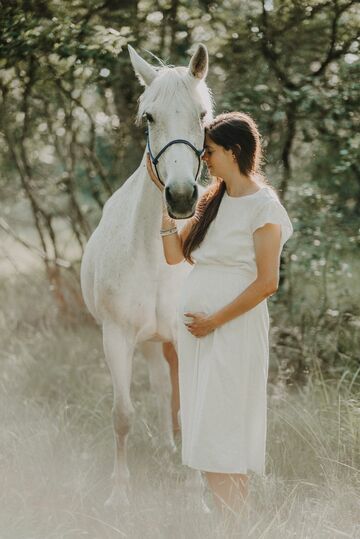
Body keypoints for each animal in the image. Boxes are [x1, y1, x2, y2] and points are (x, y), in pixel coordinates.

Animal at [80, 44, 212, 508]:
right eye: (148, 117)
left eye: (202, 115)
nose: (181, 197)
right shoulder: (116, 337)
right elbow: (122, 415)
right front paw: (120, 494)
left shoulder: (189, 336)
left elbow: (189, 411)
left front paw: (196, 496)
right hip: (149, 341)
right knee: (158, 385)